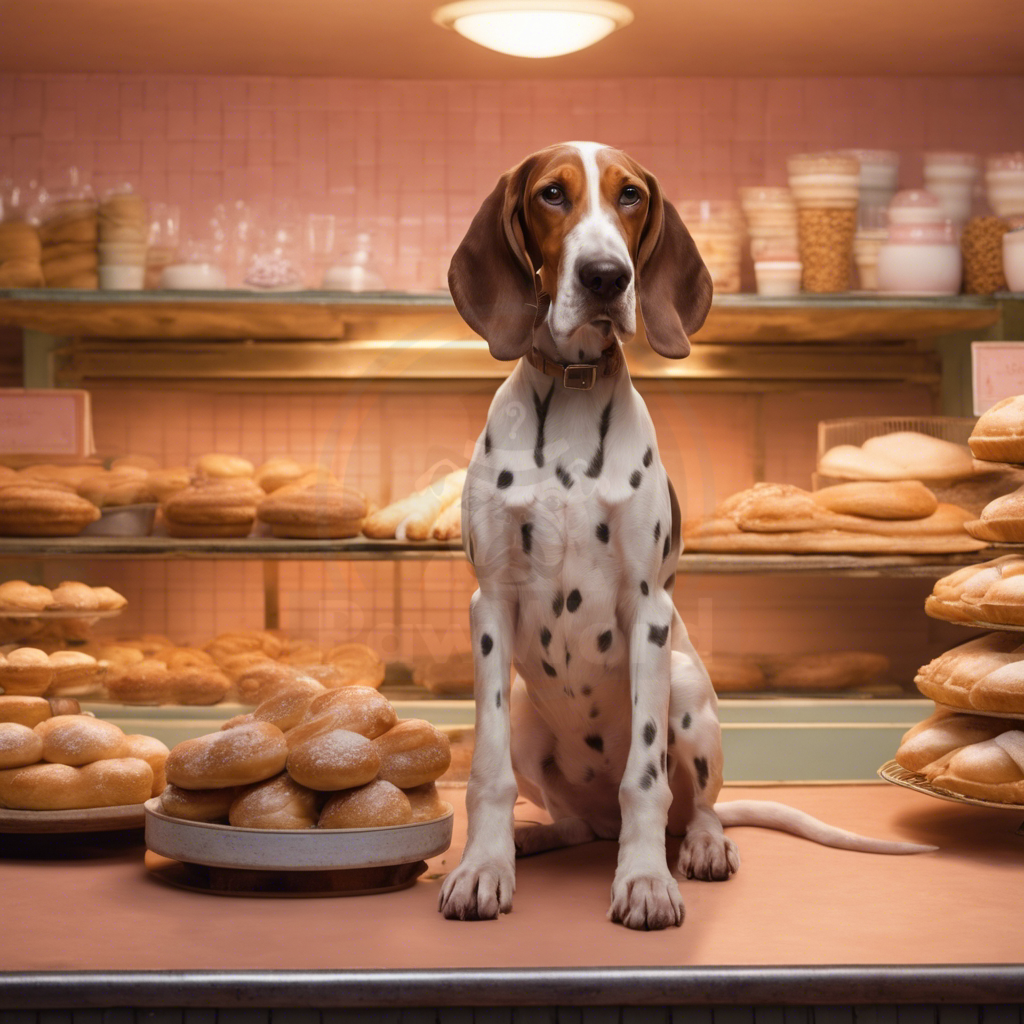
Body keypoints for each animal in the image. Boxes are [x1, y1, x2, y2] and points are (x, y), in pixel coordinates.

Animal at [440, 140, 937, 933]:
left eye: (631, 195)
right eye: (552, 194)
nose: (606, 277)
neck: (573, 395)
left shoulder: (648, 611)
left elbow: (646, 778)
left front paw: (646, 881)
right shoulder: (490, 603)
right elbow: (486, 772)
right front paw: (484, 868)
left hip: (683, 688)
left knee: (694, 807)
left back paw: (699, 848)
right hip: (524, 711)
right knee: (575, 820)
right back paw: (538, 836)